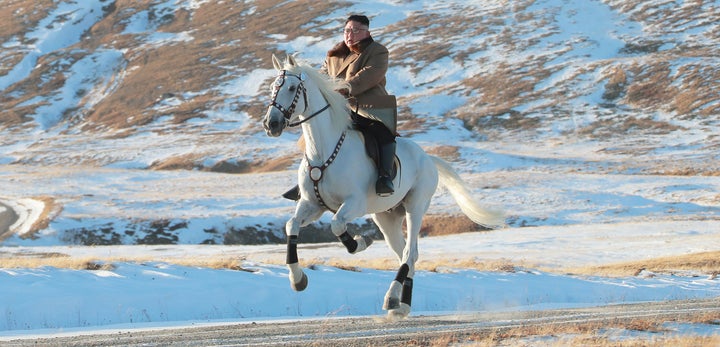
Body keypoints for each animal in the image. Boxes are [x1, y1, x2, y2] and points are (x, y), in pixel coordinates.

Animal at [262, 55, 504, 320]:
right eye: (273, 87)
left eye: (292, 88)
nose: (271, 124)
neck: (324, 150)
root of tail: (428, 158)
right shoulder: (312, 205)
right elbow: (291, 225)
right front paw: (298, 279)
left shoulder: (354, 204)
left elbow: (337, 225)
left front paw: (360, 242)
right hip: (386, 218)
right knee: (406, 255)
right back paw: (402, 305)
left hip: (415, 207)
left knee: (409, 253)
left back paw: (391, 299)